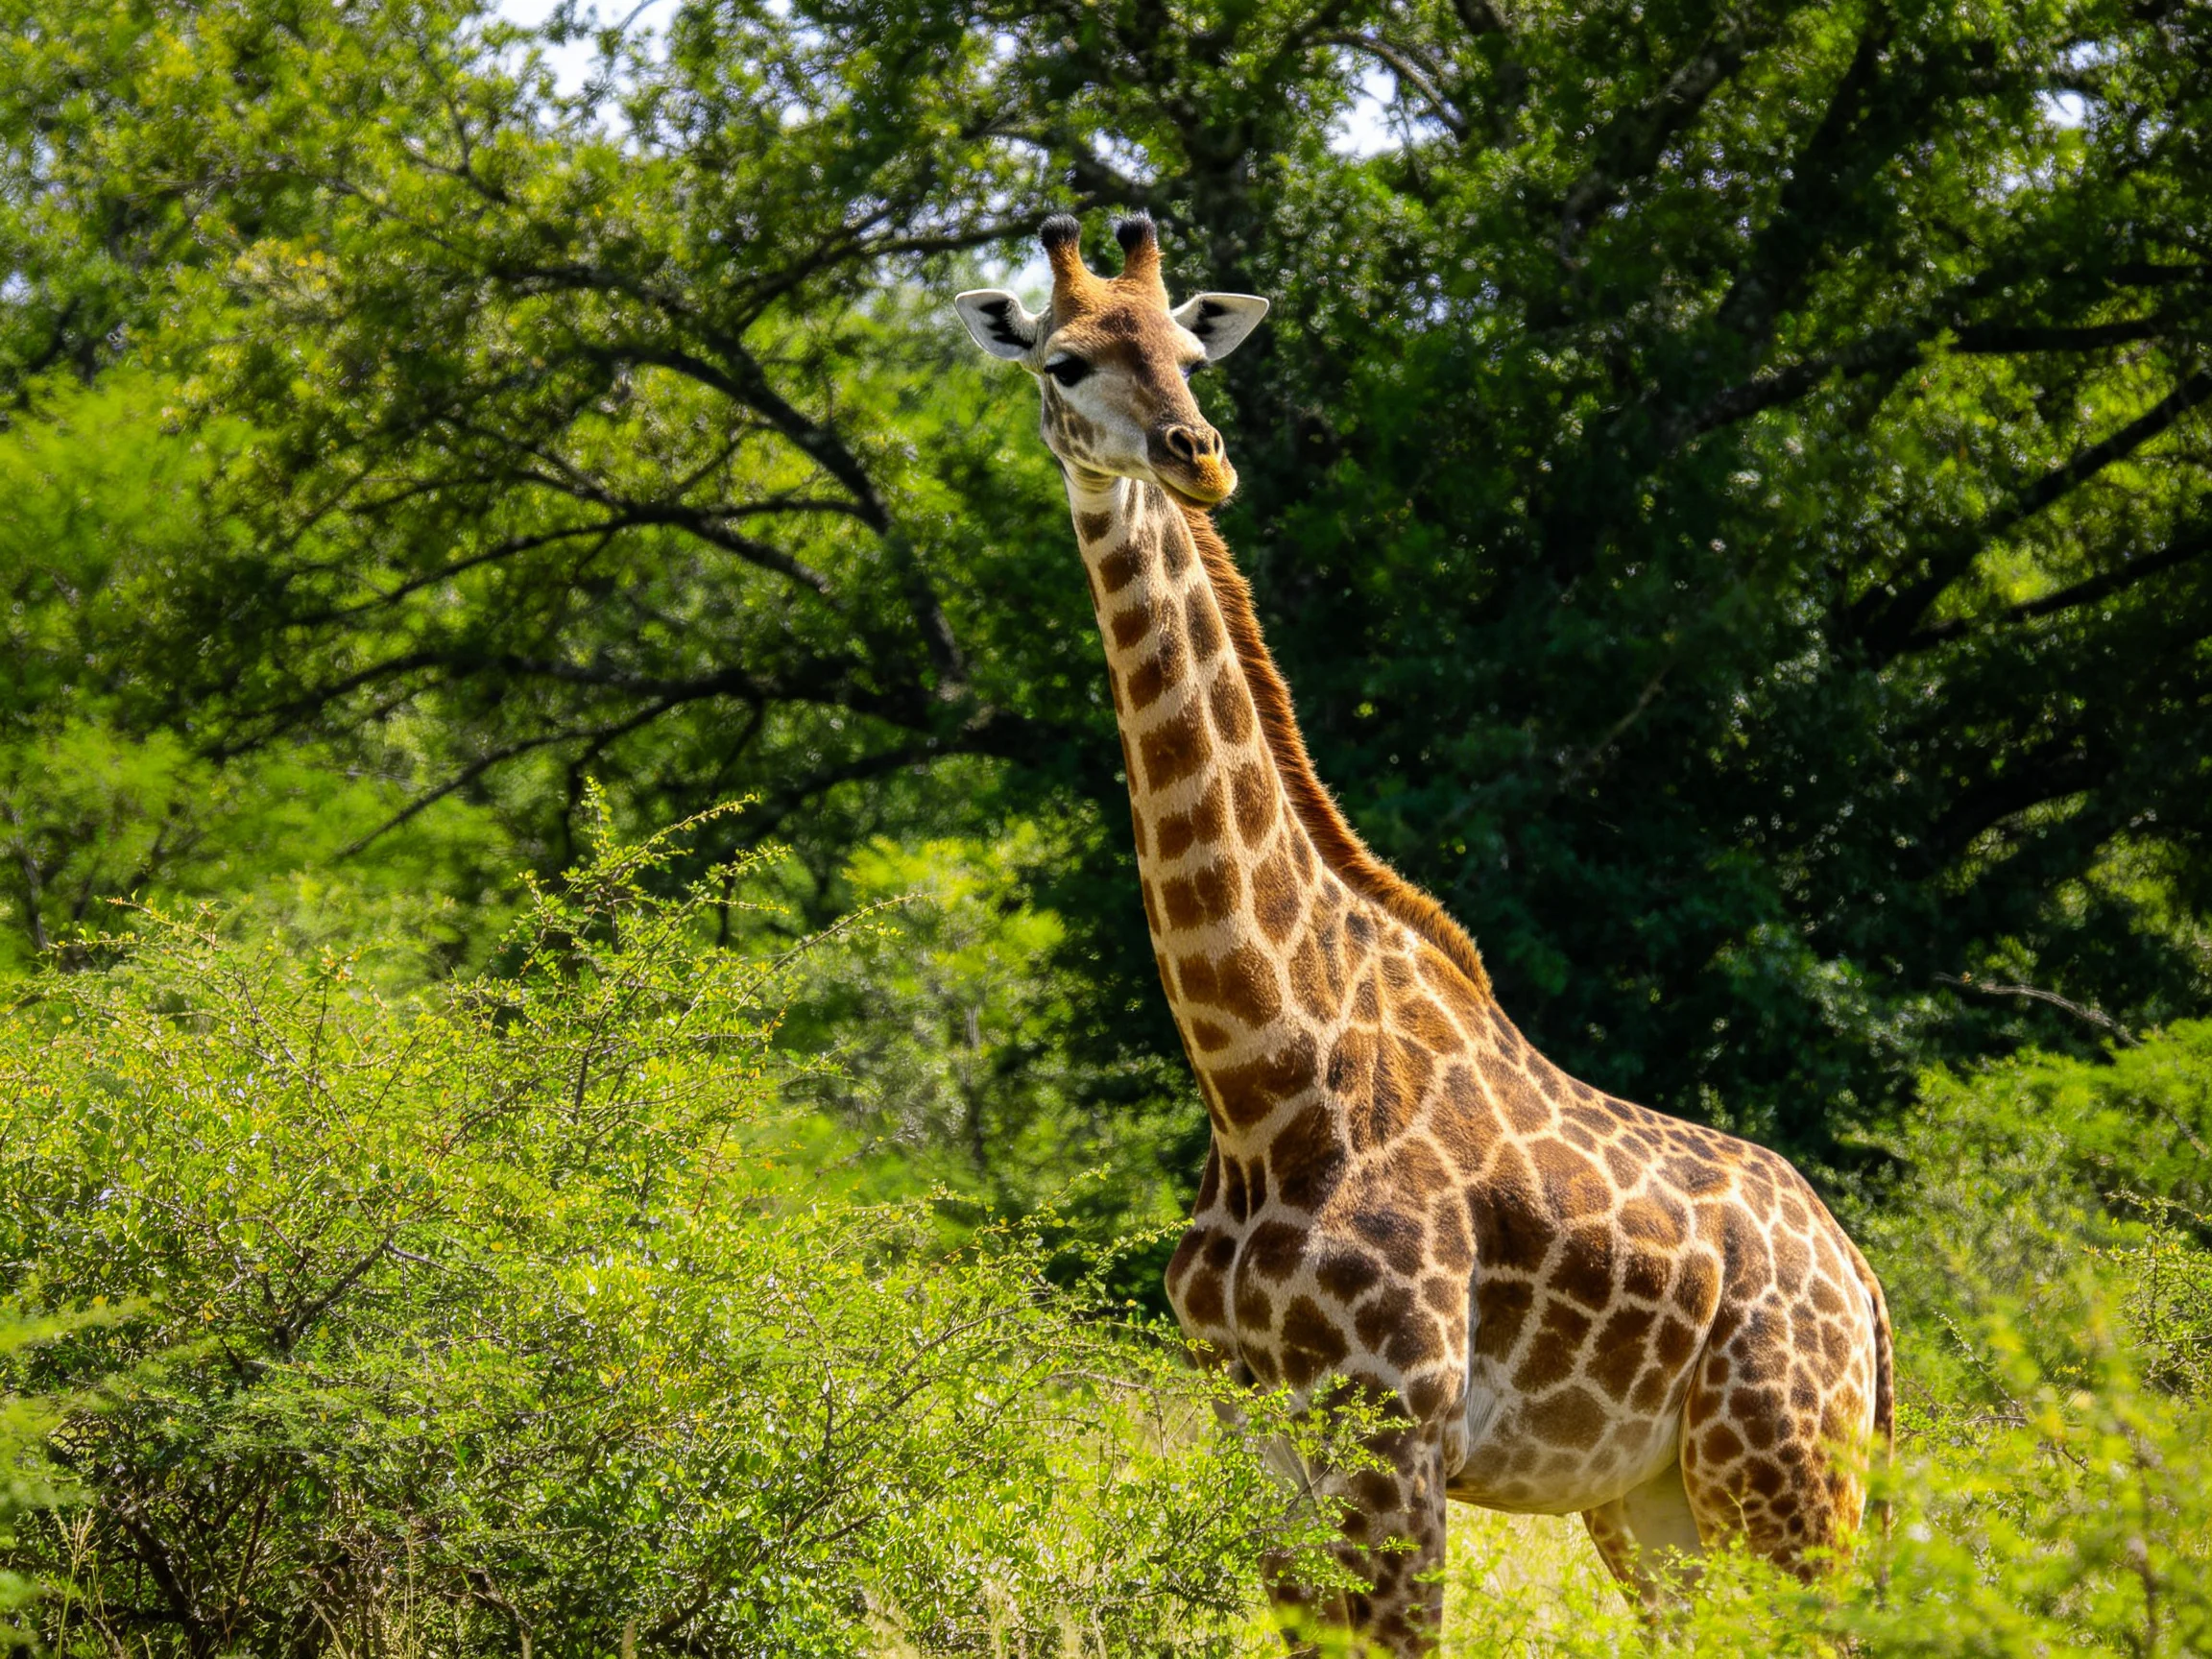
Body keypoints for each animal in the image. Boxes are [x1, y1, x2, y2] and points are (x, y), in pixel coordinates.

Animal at [953, 215, 1894, 1655]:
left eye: (1186, 355)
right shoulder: (1259, 1442)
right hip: (1657, 1506)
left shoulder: (1397, 1434)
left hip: (1787, 1475)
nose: (1197, 453)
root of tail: (1861, 1281)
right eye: (1065, 362)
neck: (1263, 1078)